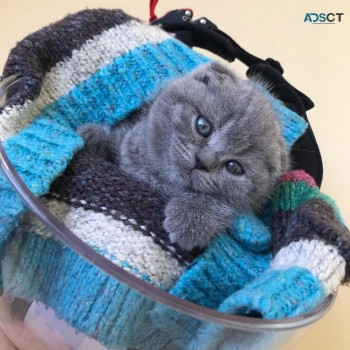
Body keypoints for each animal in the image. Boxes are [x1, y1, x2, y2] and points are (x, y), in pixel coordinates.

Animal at [80, 61, 290, 250]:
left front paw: (192, 218)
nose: (202, 161)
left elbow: (224, 204)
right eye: (203, 126)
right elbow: (121, 142)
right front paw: (95, 137)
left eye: (234, 167)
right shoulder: (130, 145)